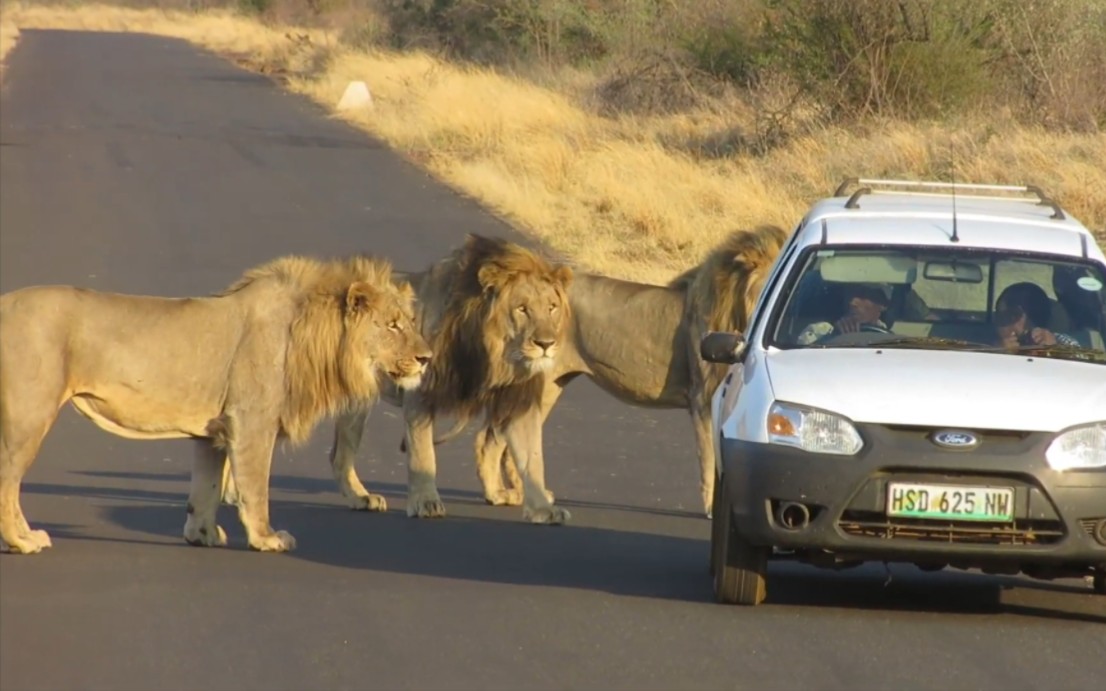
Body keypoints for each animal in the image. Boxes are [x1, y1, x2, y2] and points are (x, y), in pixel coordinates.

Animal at [0, 250, 429, 552]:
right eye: (393, 326)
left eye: (411, 322)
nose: (426, 358)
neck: (311, 336)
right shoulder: (252, 423)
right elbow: (255, 488)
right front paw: (267, 538)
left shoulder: (213, 432)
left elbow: (205, 488)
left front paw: (202, 534)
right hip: (30, 416)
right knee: (8, 479)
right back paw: (23, 541)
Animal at [222, 234, 579, 526]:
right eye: (522, 309)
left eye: (551, 307)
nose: (546, 344)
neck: (493, 353)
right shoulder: (419, 394)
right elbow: (423, 453)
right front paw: (426, 502)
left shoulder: (518, 401)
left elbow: (532, 457)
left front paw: (543, 508)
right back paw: (232, 492)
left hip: (355, 403)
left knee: (338, 456)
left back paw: (360, 498)